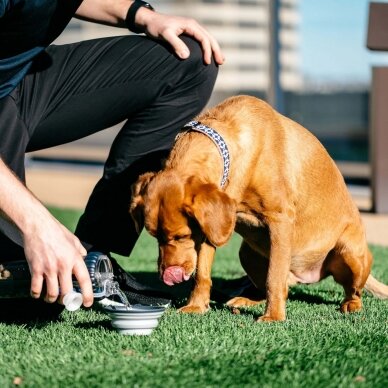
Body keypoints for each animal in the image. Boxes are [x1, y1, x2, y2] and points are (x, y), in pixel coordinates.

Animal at [131, 94, 388, 322]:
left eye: (181, 236)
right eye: (153, 236)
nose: (167, 276)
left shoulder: (280, 220)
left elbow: (274, 277)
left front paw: (273, 317)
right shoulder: (210, 227)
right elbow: (202, 272)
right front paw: (196, 305)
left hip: (349, 252)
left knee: (352, 290)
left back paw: (350, 305)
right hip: (247, 253)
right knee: (275, 286)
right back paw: (246, 300)